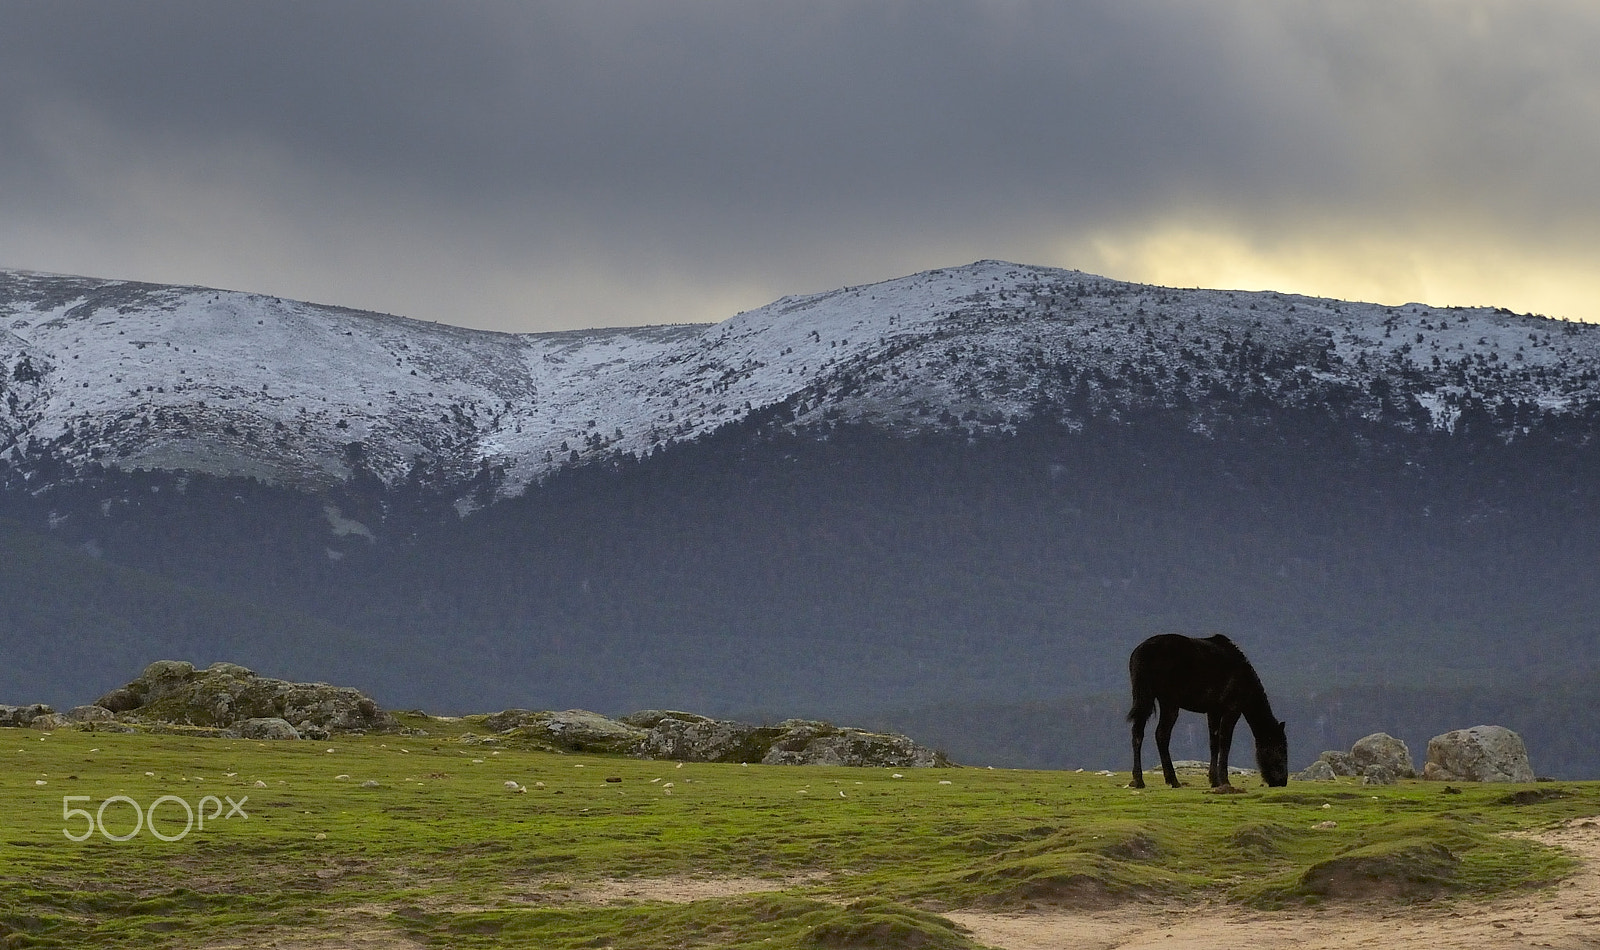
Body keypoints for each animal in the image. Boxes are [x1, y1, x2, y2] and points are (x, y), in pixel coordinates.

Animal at [1126, 636, 1286, 783]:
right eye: (1281, 749)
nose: (1282, 781)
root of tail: (1141, 654)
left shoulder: (1214, 711)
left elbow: (1213, 743)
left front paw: (1214, 779)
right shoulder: (1232, 709)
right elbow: (1225, 742)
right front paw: (1224, 779)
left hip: (1146, 699)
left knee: (1138, 733)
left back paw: (1139, 780)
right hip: (1169, 702)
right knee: (1161, 735)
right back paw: (1172, 780)